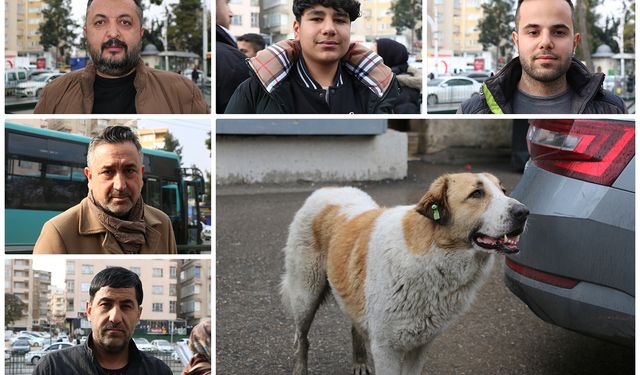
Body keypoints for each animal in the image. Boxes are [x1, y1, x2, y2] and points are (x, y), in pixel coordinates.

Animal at [282, 173, 528, 375]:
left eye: (503, 191)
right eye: (477, 193)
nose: (524, 212)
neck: (433, 253)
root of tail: (327, 189)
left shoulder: (420, 345)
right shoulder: (385, 349)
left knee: (354, 328)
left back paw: (359, 362)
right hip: (305, 297)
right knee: (302, 340)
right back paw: (300, 370)